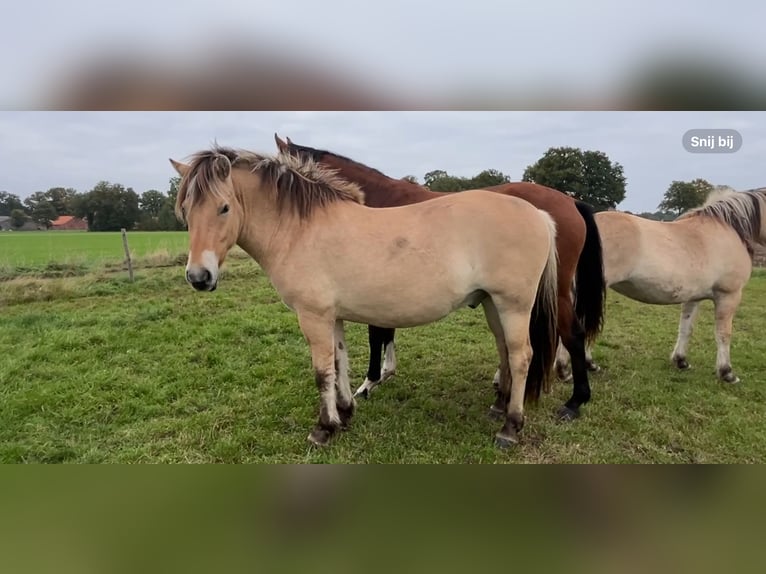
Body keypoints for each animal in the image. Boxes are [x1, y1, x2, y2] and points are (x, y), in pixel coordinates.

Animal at [170, 145, 560, 448]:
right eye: (186, 210)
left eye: (223, 207)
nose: (199, 277)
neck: (300, 230)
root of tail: (540, 214)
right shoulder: (333, 316)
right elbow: (340, 362)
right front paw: (344, 414)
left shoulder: (313, 316)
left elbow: (322, 371)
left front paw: (323, 429)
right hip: (493, 304)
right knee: (505, 351)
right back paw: (499, 407)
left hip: (513, 304)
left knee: (521, 356)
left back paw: (510, 427)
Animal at [274, 134, 606, 421]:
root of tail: (569, 201)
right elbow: (387, 331)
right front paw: (386, 372)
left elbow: (377, 334)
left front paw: (371, 381)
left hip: (552, 290)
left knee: (572, 335)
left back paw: (575, 400)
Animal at [555, 186, 766, 384]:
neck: (727, 230)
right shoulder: (728, 295)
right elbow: (723, 334)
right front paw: (727, 372)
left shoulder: (693, 298)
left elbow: (686, 328)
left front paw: (681, 361)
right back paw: (565, 371)